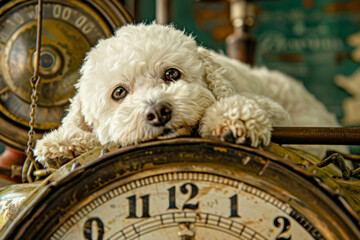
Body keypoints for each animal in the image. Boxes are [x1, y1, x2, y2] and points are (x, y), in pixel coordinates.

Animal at [34, 23, 346, 168]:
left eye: (172, 74)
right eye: (119, 93)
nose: (158, 112)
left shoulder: (280, 115)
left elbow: (254, 106)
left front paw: (231, 119)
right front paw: (63, 144)